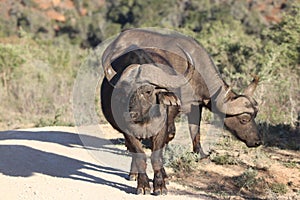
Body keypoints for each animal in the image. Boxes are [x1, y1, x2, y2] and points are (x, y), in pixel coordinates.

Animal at [99, 27, 262, 195]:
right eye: (244, 119)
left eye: (254, 116)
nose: (258, 141)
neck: (197, 72)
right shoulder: (175, 109)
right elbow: (167, 136)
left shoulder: (195, 106)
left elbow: (194, 131)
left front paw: (200, 154)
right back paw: (133, 173)